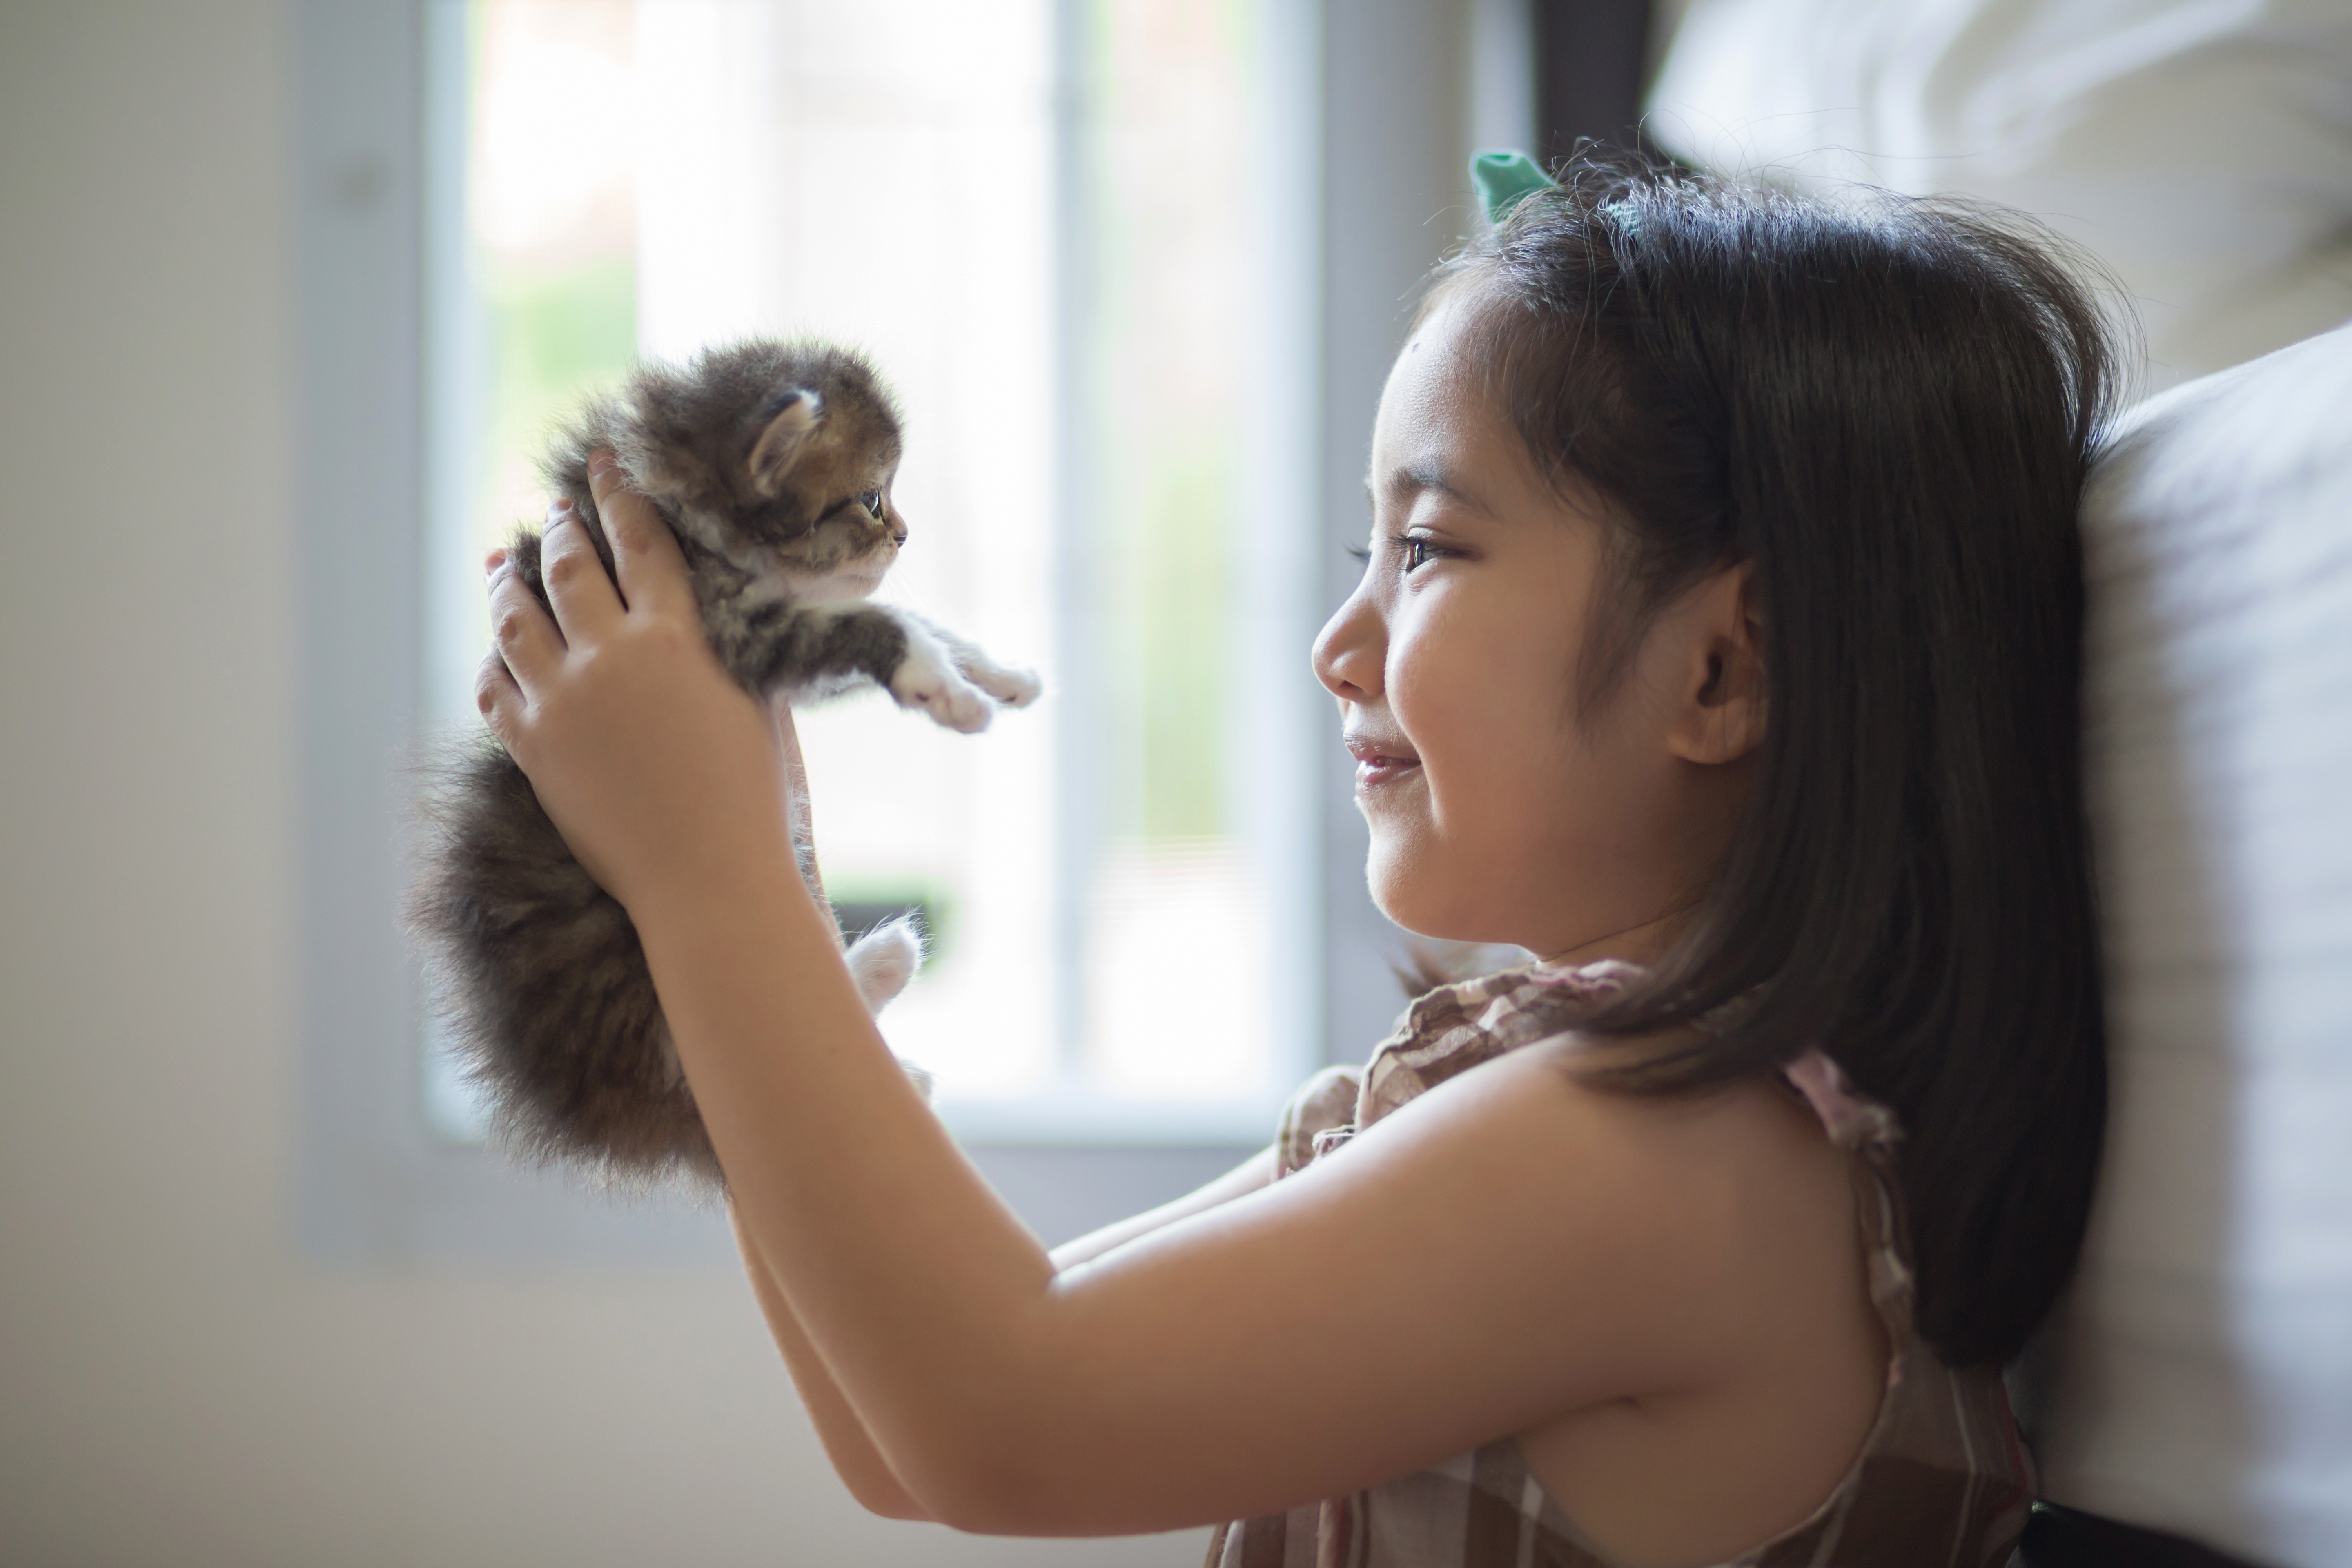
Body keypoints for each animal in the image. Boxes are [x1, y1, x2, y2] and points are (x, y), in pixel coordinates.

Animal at [409, 341, 1035, 1189]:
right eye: (872, 499)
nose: (905, 534)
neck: (680, 503)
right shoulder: (742, 631)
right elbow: (883, 619)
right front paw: (946, 690)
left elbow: (914, 617)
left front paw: (997, 675)